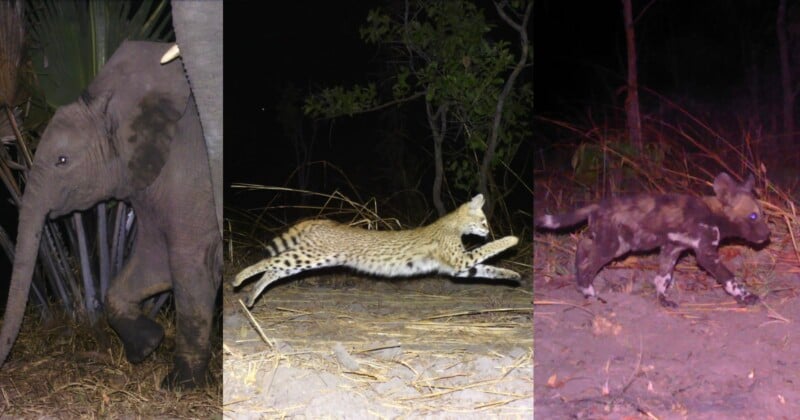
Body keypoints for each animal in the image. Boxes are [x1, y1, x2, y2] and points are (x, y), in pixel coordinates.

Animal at [0, 41, 222, 390]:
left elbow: (189, 264)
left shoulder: (191, 180)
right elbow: (152, 261)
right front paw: (146, 346)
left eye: (62, 160)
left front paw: (180, 386)